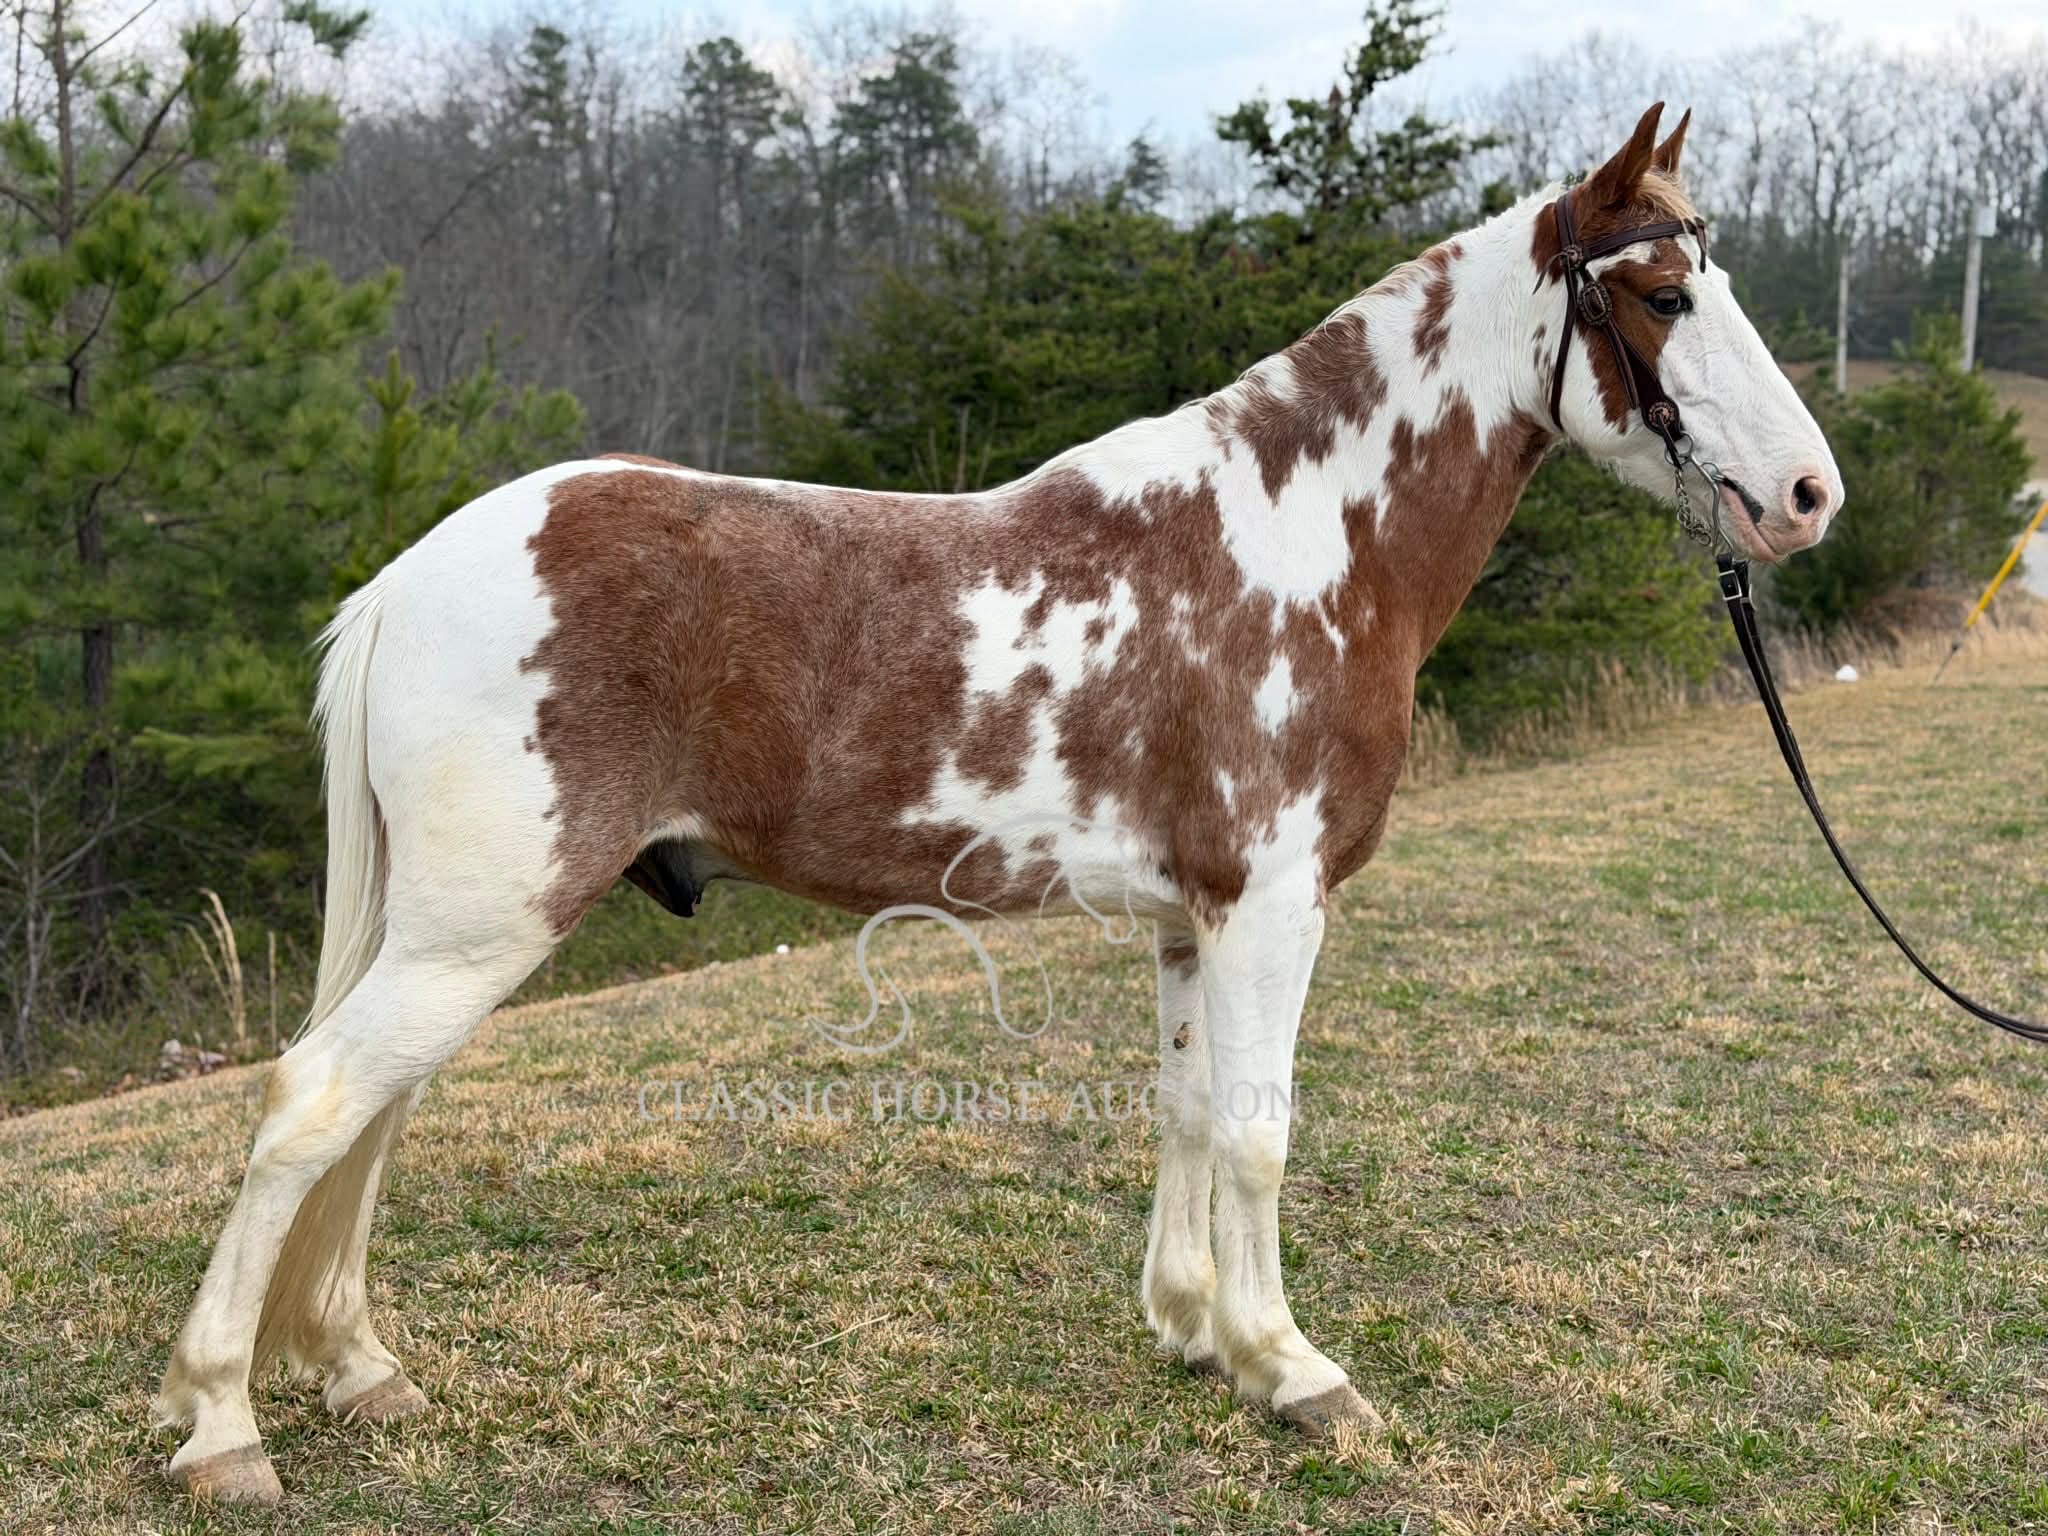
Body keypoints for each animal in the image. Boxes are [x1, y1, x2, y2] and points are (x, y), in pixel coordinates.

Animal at [156, 103, 1842, 1503]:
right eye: (1665, 296)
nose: (1810, 496)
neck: (1301, 542)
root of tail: (409, 575)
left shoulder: (1193, 919)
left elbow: (1186, 1112)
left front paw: (1199, 1334)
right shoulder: (1275, 905)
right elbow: (1259, 1131)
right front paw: (1299, 1373)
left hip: (455, 929)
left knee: (371, 1118)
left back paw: (356, 1371)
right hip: (479, 928)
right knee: (315, 1104)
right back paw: (226, 1429)